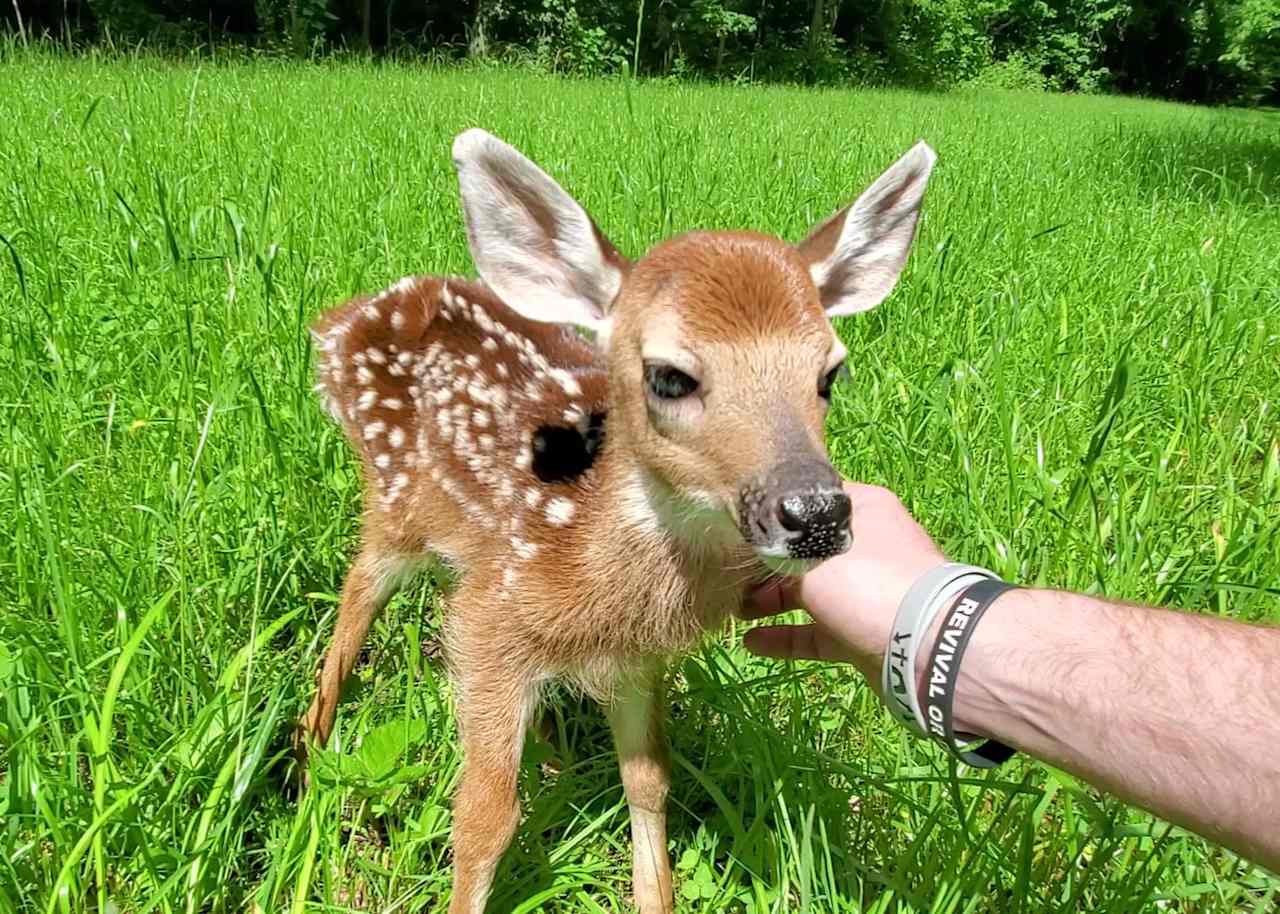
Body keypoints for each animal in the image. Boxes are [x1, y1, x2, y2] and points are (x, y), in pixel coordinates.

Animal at [299, 128, 942, 911]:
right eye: (669, 375)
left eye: (830, 375)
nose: (816, 511)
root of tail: (342, 322)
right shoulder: (488, 626)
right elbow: (484, 815)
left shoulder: (633, 660)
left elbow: (649, 781)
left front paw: (653, 893)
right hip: (396, 501)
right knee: (357, 594)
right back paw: (310, 747)